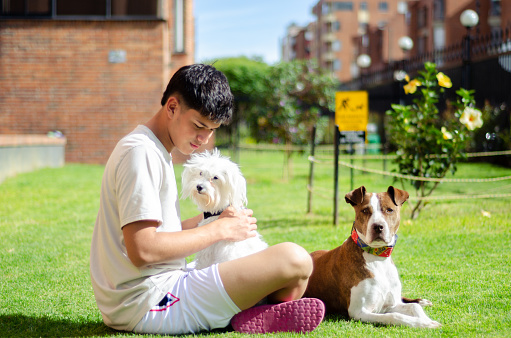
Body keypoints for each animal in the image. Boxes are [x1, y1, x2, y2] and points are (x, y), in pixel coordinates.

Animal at [306, 186, 442, 328]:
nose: (378, 226)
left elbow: (414, 307)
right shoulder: (359, 311)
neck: (377, 257)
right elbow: (394, 316)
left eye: (389, 210)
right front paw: (423, 323)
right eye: (365, 210)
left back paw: (421, 301)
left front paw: (425, 319)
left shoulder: (390, 304)